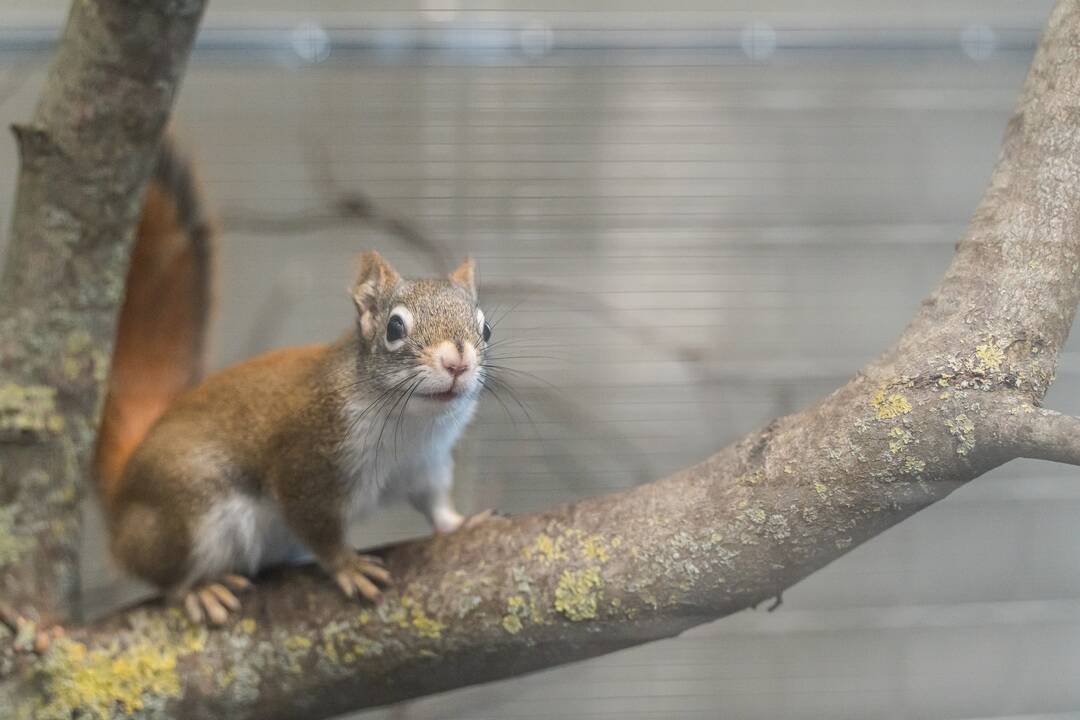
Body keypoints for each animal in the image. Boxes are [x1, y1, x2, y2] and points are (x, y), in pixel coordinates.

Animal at [95, 136, 492, 626]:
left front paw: (459, 522)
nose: (458, 363)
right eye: (394, 328)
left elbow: (434, 502)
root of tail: (121, 499)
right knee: (161, 571)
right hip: (185, 517)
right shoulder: (306, 465)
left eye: (485, 328)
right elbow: (317, 527)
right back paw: (198, 590)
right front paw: (349, 566)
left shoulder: (426, 464)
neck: (412, 425)